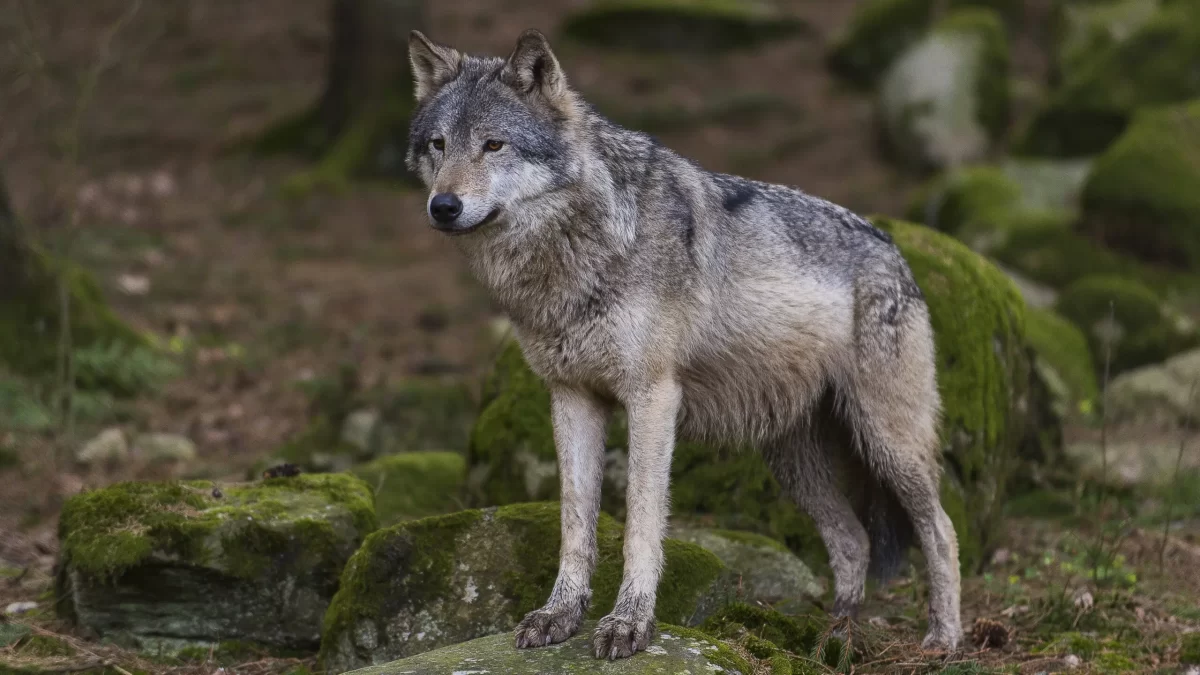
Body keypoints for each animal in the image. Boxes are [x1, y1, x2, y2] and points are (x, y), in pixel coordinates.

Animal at [404, 28, 963, 659]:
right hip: (795, 462)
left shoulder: (652, 398)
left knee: (941, 530)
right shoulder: (572, 398)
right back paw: (832, 639)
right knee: (854, 541)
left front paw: (628, 624)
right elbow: (575, 524)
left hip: (887, 442)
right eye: (438, 145)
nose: (443, 206)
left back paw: (942, 639)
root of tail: (896, 251)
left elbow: (642, 524)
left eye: (494, 145)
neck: (582, 249)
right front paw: (559, 615)